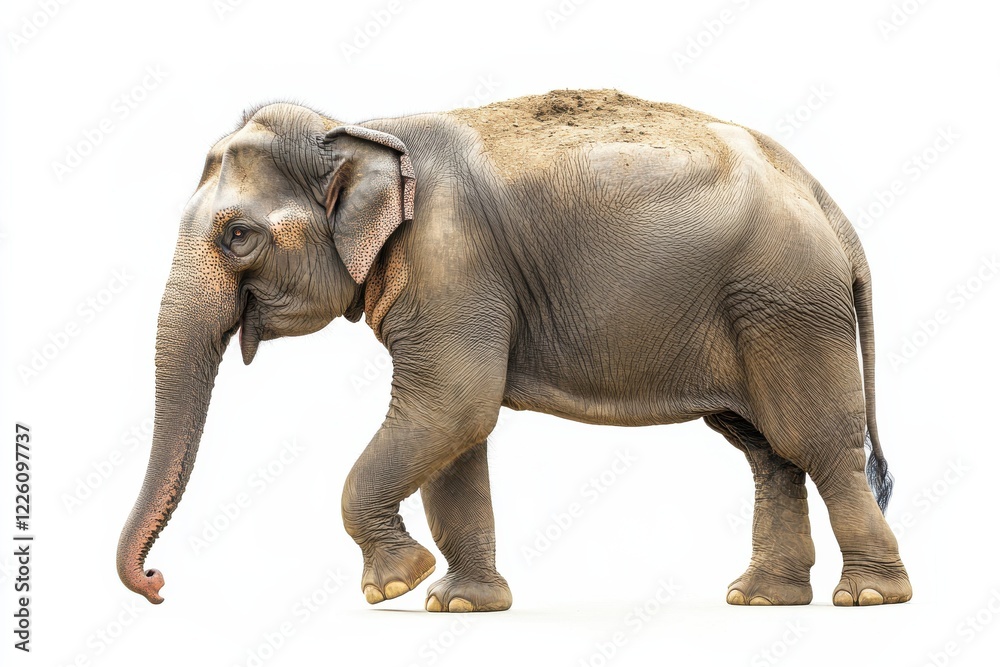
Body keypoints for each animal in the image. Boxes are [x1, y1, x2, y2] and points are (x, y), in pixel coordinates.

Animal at [117, 89, 912, 611]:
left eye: (237, 235)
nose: (158, 586)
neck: (363, 129)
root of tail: (830, 206)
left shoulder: (453, 262)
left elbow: (452, 408)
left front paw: (396, 583)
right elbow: (454, 438)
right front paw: (459, 603)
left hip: (787, 303)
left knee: (816, 444)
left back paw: (870, 597)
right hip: (762, 311)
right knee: (766, 450)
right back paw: (761, 599)